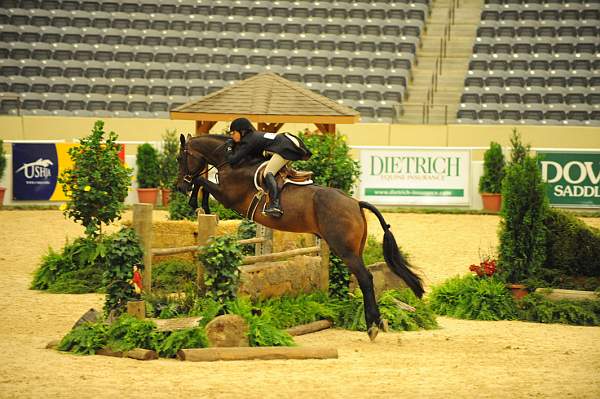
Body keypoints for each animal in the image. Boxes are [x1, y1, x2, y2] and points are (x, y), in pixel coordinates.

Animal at [176, 134, 424, 340]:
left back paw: (372, 326)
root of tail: (355, 203)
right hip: (353, 249)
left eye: (180, 158)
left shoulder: (228, 196)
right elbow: (203, 183)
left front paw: (196, 202)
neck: (231, 161)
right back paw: (377, 322)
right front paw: (201, 204)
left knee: (365, 278)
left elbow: (202, 182)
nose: (179, 186)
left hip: (345, 250)